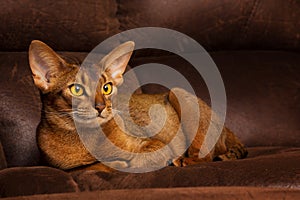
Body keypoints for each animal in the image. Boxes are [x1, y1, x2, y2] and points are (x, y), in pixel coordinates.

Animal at [29, 40, 247, 172]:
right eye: (76, 89)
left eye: (107, 88)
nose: (100, 107)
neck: (81, 140)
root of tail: (228, 129)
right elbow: (89, 168)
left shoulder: (155, 144)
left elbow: (134, 160)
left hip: (178, 93)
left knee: (206, 156)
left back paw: (186, 160)